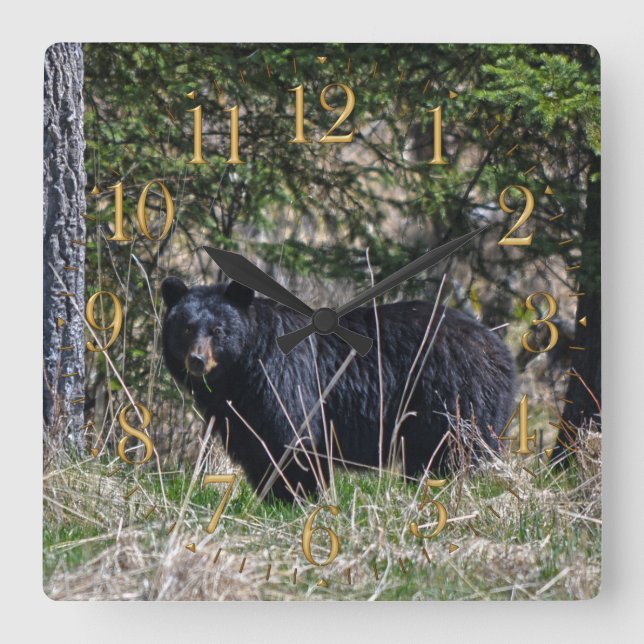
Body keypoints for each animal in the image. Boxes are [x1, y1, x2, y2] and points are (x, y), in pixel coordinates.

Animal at [161, 276, 516, 502]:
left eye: (218, 330)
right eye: (186, 328)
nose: (196, 360)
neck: (243, 370)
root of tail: (500, 350)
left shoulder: (285, 381)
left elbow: (293, 440)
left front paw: (298, 498)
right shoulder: (240, 411)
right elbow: (257, 449)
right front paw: (272, 496)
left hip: (452, 398)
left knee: (450, 454)